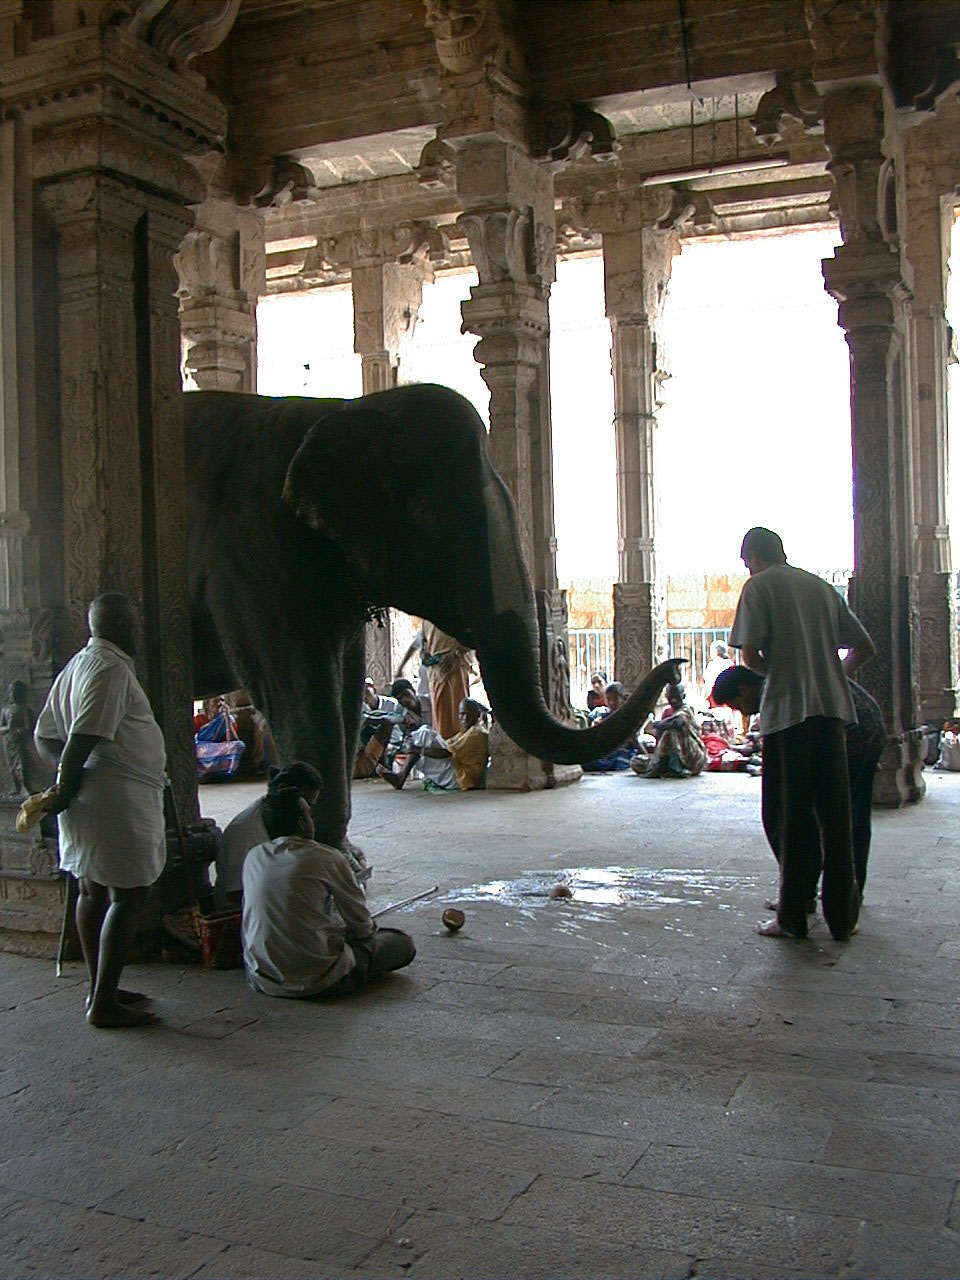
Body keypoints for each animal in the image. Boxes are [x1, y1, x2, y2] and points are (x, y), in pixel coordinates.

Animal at [185, 384, 686, 855]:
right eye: (442, 522)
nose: (676, 667)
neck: (342, 408)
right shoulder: (254, 553)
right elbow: (300, 688)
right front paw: (317, 849)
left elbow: (344, 689)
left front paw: (337, 852)